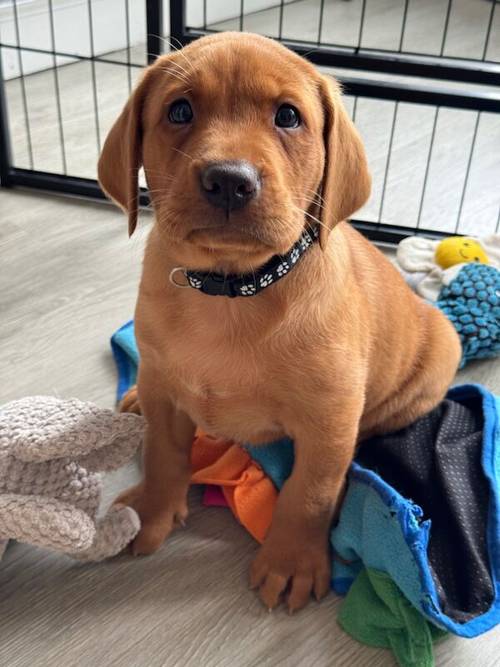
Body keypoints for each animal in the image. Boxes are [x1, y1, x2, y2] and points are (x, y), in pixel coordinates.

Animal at [97, 34, 460, 612]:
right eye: (179, 110)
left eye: (288, 116)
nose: (228, 180)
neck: (231, 291)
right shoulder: (167, 393)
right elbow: (164, 452)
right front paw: (151, 509)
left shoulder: (329, 418)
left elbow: (308, 491)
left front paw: (291, 560)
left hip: (438, 353)